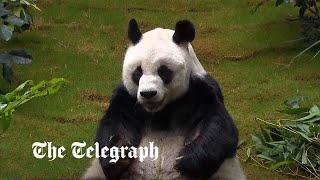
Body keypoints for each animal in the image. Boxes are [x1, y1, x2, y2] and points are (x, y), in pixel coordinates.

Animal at [82, 19, 245, 179]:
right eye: (138, 71)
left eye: (163, 71)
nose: (148, 93)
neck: (161, 111)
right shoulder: (127, 97)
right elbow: (116, 122)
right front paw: (118, 157)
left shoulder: (201, 90)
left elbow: (218, 125)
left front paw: (186, 161)